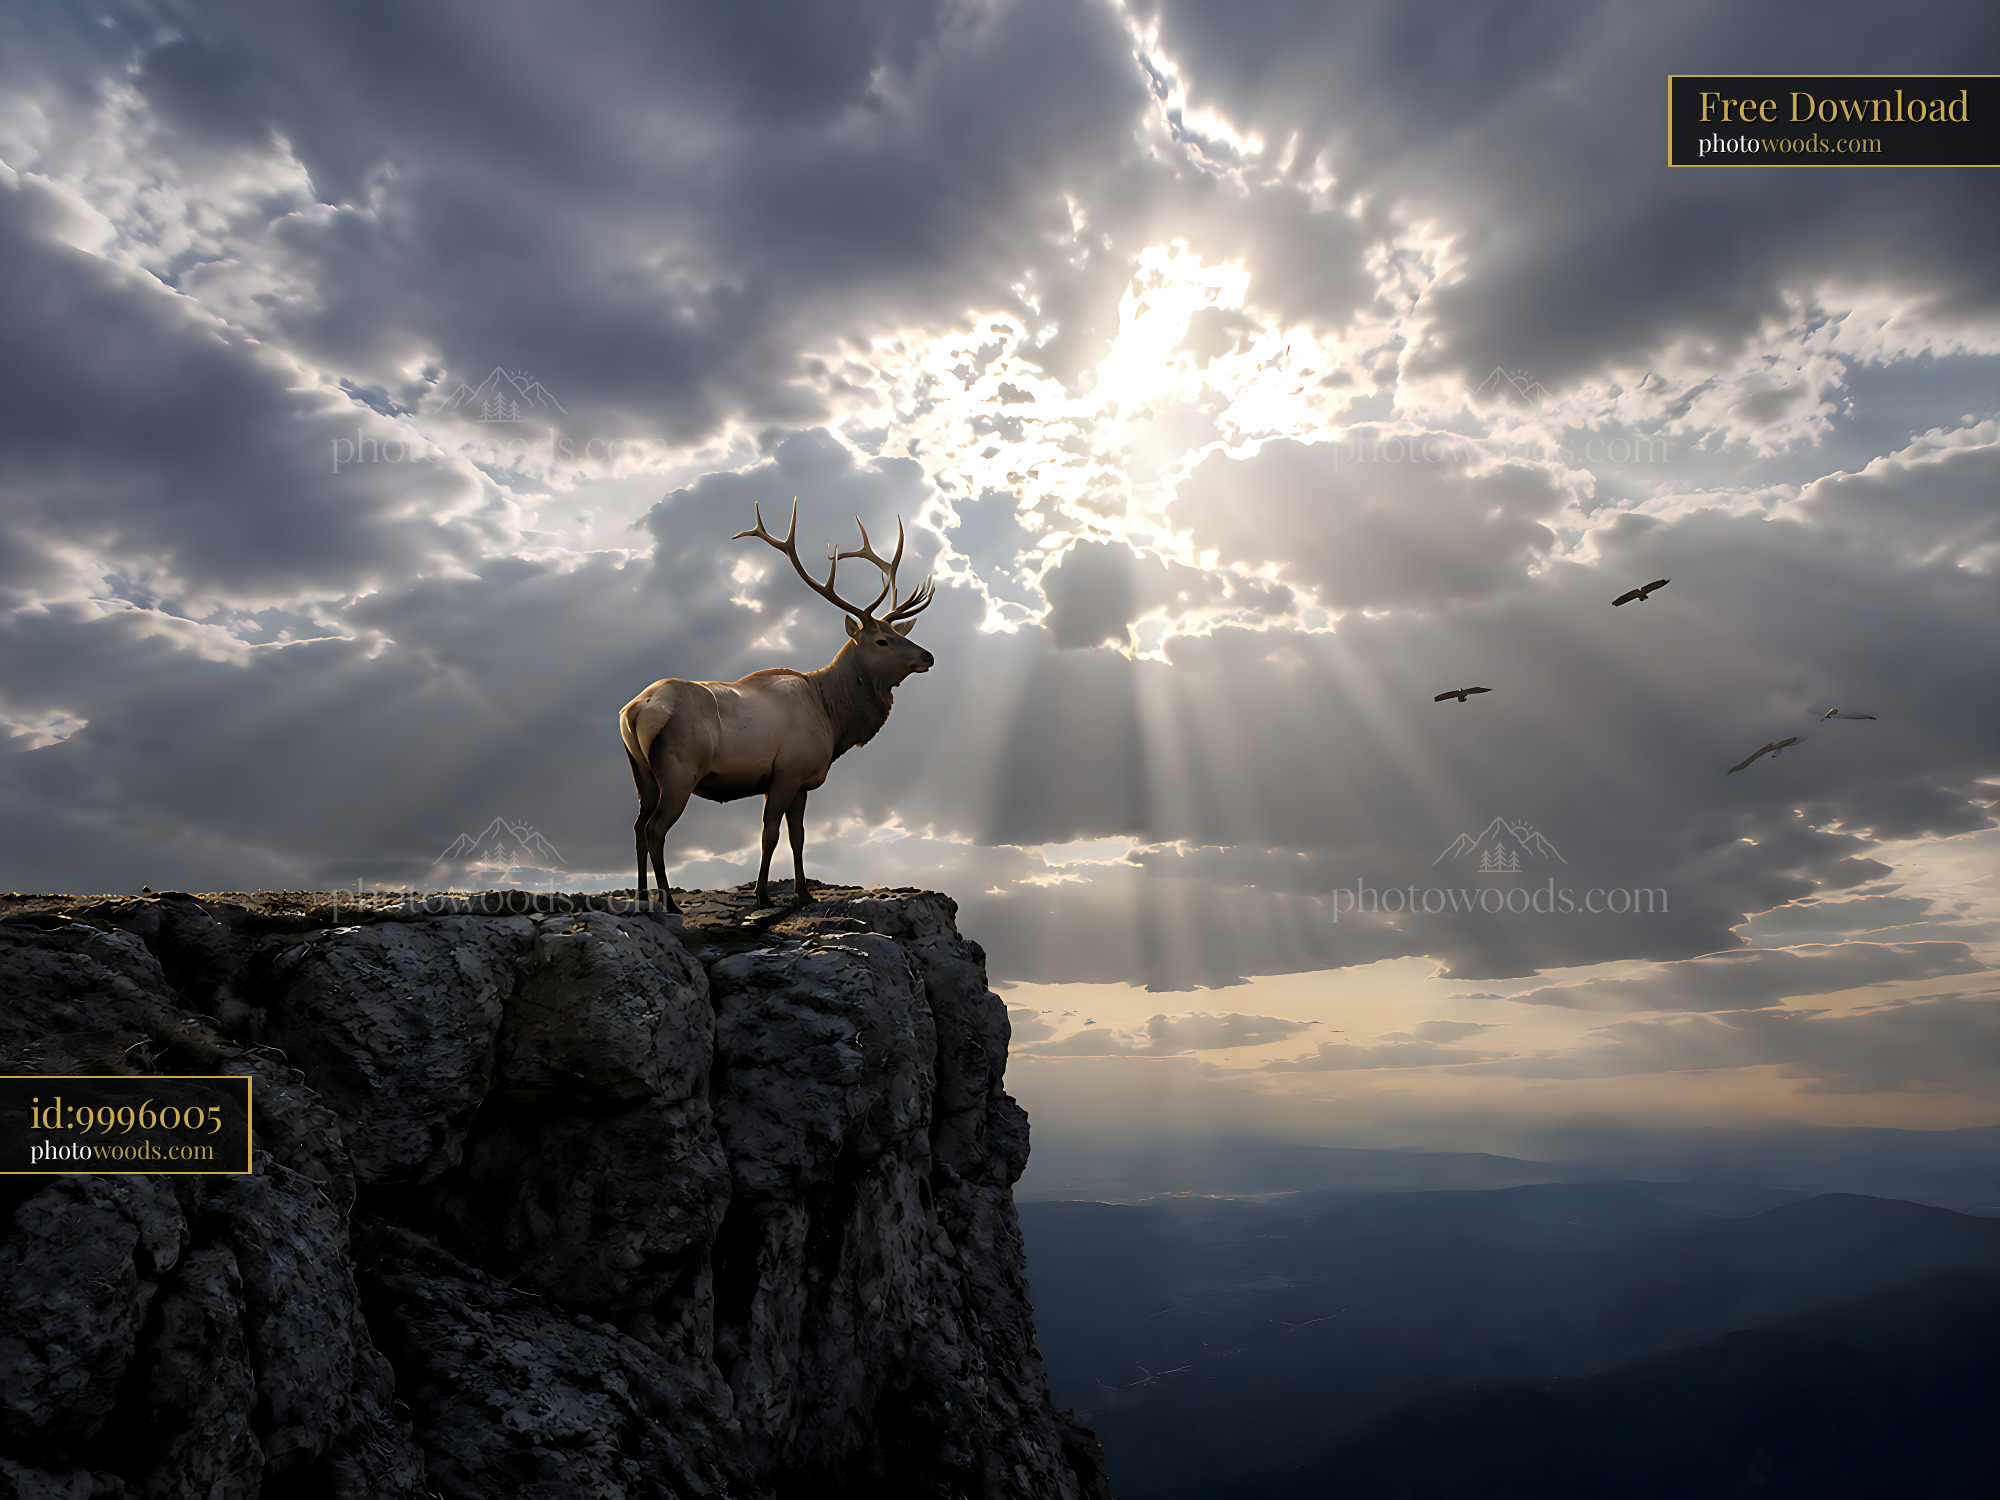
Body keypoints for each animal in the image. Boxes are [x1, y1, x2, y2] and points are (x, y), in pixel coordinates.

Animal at [618, 500, 936, 912]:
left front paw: (803, 892)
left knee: (637, 827)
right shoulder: (786, 771)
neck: (833, 720)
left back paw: (643, 897)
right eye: (882, 640)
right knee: (655, 828)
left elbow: (798, 836)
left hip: (641, 771)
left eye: (900, 633)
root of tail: (635, 711)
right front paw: (763, 894)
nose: (928, 655)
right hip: (679, 770)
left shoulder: (802, 781)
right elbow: (769, 833)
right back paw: (669, 903)